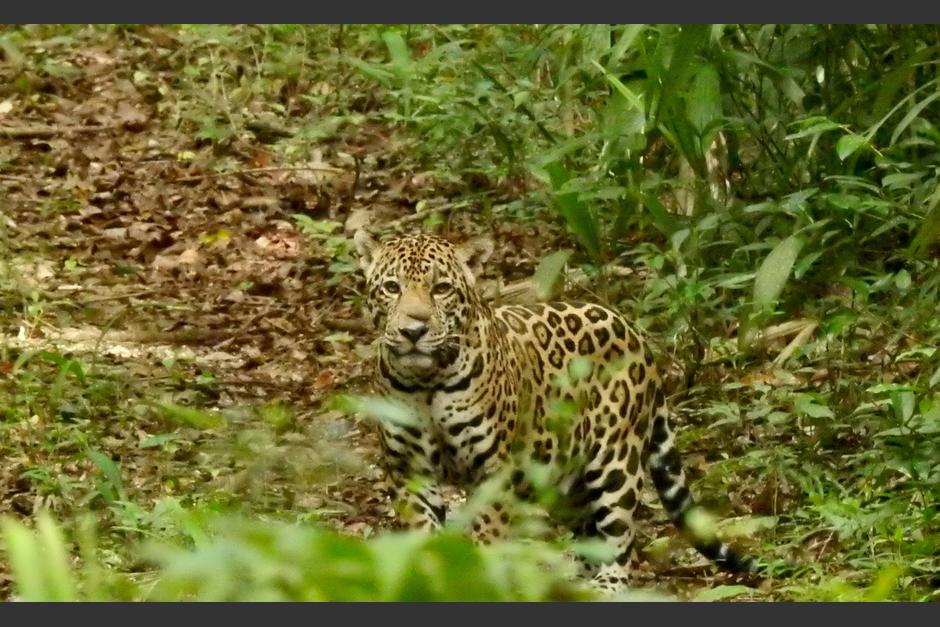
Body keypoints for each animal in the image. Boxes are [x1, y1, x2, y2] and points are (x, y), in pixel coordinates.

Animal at [352, 230, 756, 592]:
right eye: (392, 287)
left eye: (441, 289)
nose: (414, 330)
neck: (427, 382)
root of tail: (634, 332)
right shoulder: (409, 471)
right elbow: (424, 537)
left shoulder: (492, 472)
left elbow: (487, 537)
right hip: (563, 477)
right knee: (589, 531)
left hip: (615, 462)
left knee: (620, 538)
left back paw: (604, 586)